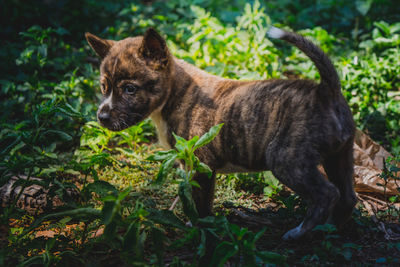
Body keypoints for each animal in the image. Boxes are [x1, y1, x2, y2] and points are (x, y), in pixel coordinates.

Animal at [86, 26, 358, 241]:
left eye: (130, 89)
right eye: (104, 87)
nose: (102, 117)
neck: (175, 93)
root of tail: (326, 91)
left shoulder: (201, 165)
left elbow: (200, 203)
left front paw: (199, 226)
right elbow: (202, 199)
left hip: (287, 161)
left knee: (327, 194)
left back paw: (299, 232)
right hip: (340, 156)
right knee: (348, 196)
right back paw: (330, 228)